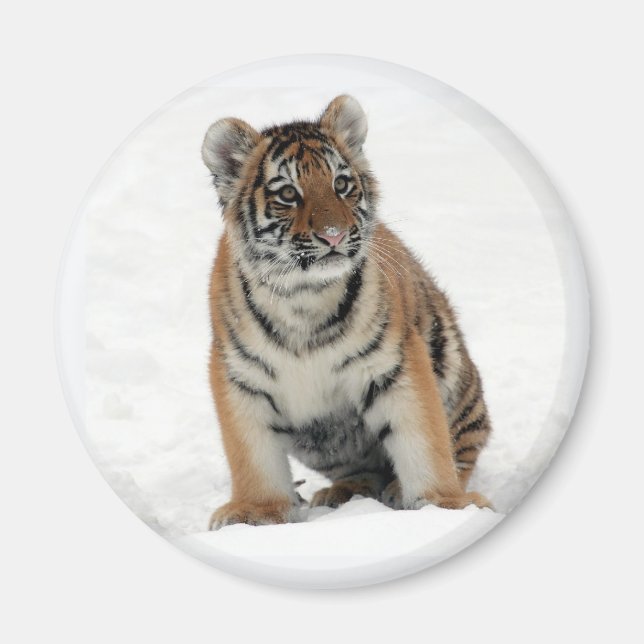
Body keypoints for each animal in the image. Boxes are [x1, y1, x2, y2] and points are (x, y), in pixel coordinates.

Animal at [201, 95, 492, 529]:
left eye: (341, 184)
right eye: (287, 193)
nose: (334, 235)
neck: (304, 295)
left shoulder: (396, 366)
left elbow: (424, 441)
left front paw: (444, 507)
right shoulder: (240, 377)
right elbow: (251, 455)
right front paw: (255, 512)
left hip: (455, 376)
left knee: (460, 449)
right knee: (362, 469)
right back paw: (344, 493)